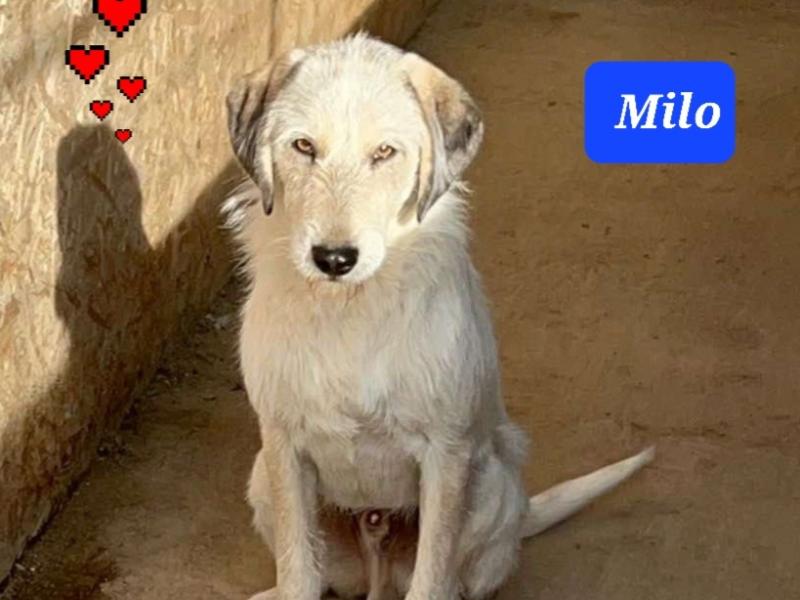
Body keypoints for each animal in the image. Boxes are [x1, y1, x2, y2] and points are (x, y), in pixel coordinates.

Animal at [223, 34, 654, 600]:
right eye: (303, 147)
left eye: (385, 152)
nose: (334, 259)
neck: (351, 309)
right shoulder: (284, 447)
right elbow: (297, 571)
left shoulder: (446, 456)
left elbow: (433, 575)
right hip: (262, 479)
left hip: (491, 487)